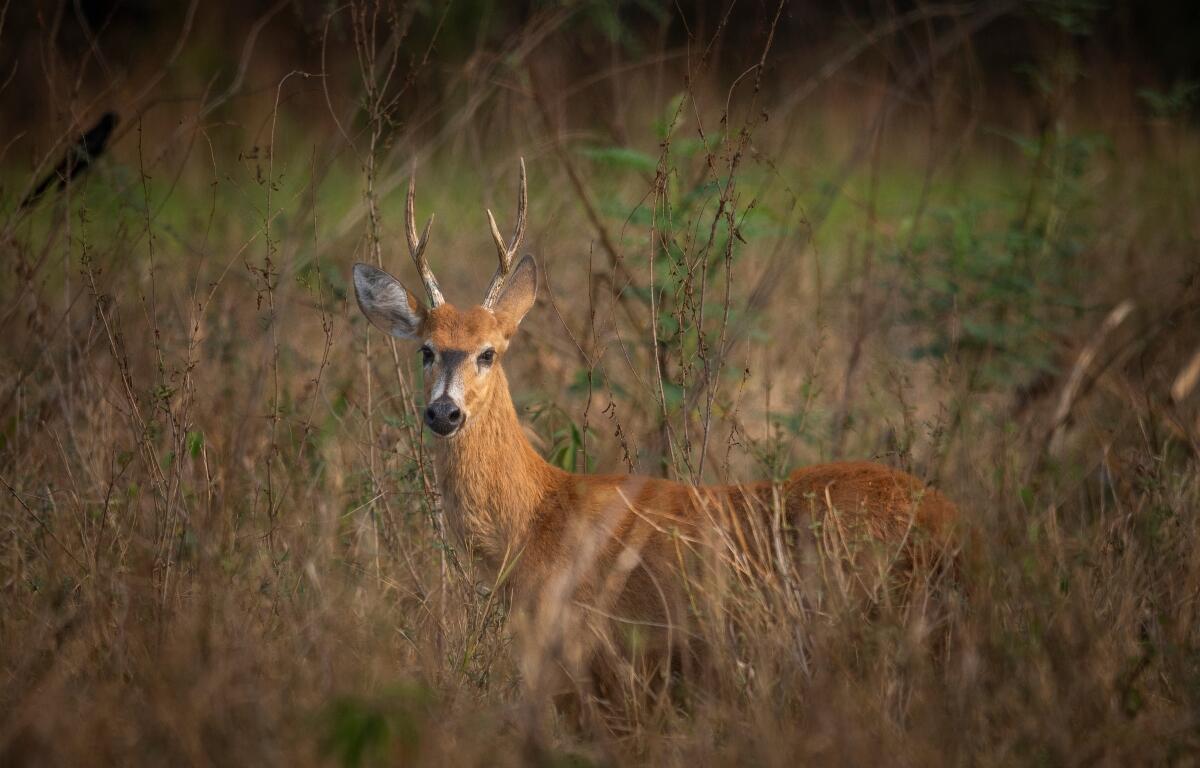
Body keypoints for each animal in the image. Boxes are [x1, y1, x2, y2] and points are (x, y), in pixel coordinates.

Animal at [352, 159, 959, 708]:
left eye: (488, 352)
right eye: (426, 350)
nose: (444, 413)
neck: (533, 521)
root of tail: (958, 528)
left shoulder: (592, 663)